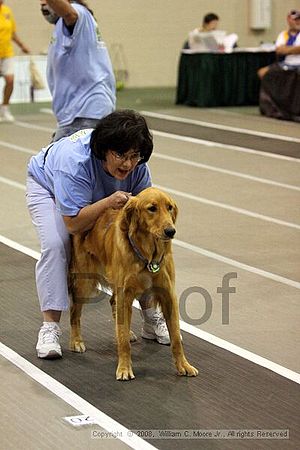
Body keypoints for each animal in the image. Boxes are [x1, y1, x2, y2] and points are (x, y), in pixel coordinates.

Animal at [69, 186, 198, 380]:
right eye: (152, 208)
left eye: (169, 207)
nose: (171, 231)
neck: (148, 255)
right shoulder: (125, 294)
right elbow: (123, 343)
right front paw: (124, 368)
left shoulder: (168, 295)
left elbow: (176, 337)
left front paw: (183, 365)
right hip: (85, 283)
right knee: (74, 313)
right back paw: (76, 341)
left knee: (112, 303)